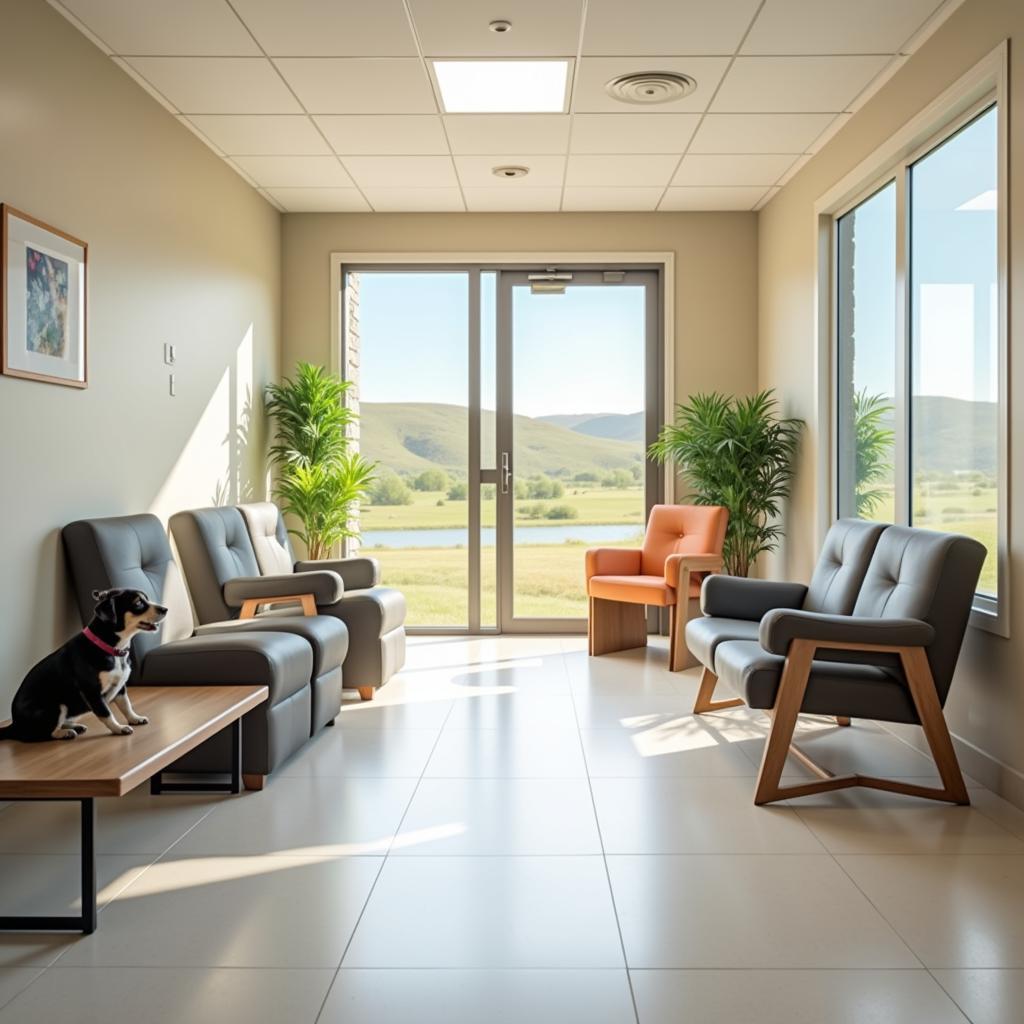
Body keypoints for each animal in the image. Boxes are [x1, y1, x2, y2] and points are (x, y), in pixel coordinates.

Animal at [0, 593, 166, 745]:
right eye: (138, 603)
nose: (165, 609)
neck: (112, 648)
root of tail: (14, 725)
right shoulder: (92, 691)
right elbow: (106, 713)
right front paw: (118, 728)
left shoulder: (120, 686)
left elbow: (126, 705)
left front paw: (134, 718)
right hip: (56, 707)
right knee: (40, 734)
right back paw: (65, 733)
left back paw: (74, 727)